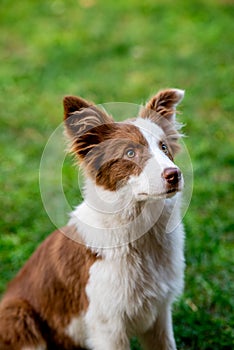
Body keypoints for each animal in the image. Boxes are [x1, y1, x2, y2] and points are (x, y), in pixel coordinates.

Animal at [0, 89, 186, 348]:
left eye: (164, 147)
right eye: (130, 153)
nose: (174, 175)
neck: (140, 236)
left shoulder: (160, 313)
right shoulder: (108, 325)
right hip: (17, 315)